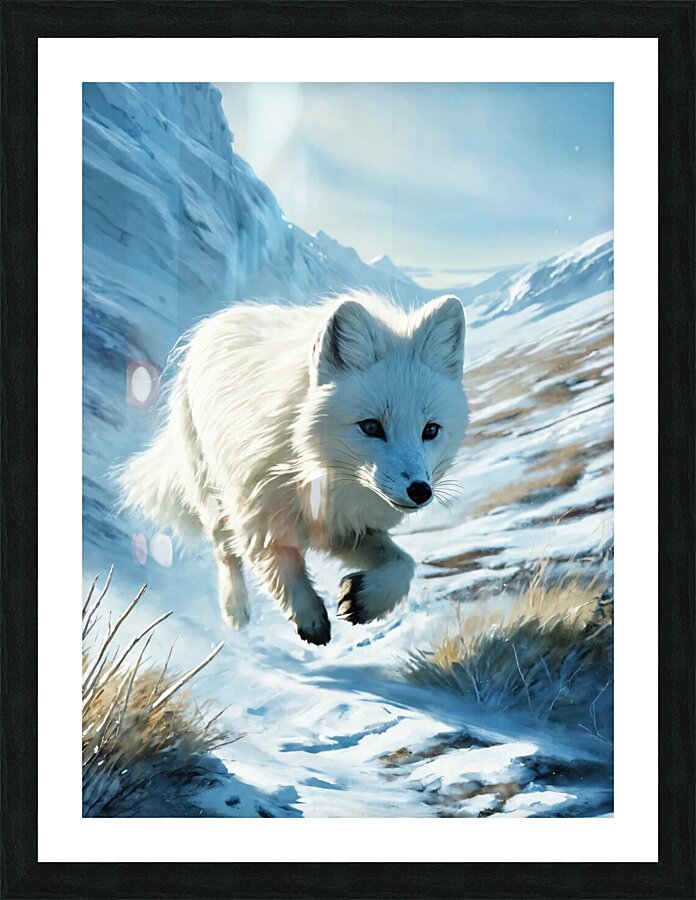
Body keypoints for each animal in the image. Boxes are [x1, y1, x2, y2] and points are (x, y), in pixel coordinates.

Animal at [119, 291, 469, 645]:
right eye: (370, 426)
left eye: (430, 430)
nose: (420, 491)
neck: (317, 472)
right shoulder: (257, 514)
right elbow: (282, 570)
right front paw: (310, 618)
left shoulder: (349, 528)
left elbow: (404, 564)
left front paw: (364, 600)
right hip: (212, 494)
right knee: (224, 551)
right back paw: (235, 609)